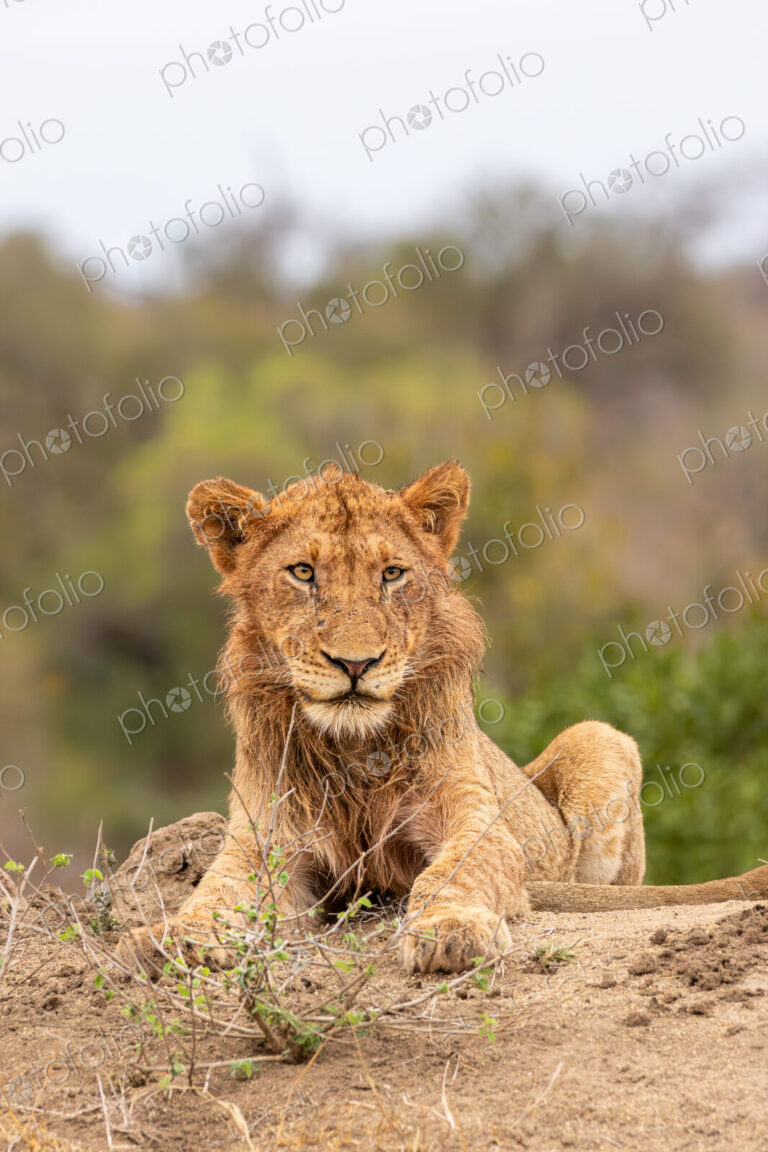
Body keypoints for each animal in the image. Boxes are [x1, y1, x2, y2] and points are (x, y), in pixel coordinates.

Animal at [120, 460, 768, 975]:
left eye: (392, 573)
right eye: (303, 572)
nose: (355, 664)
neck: (355, 748)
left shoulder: (478, 820)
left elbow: (454, 872)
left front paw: (451, 931)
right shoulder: (264, 841)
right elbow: (217, 892)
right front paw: (166, 938)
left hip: (600, 741)